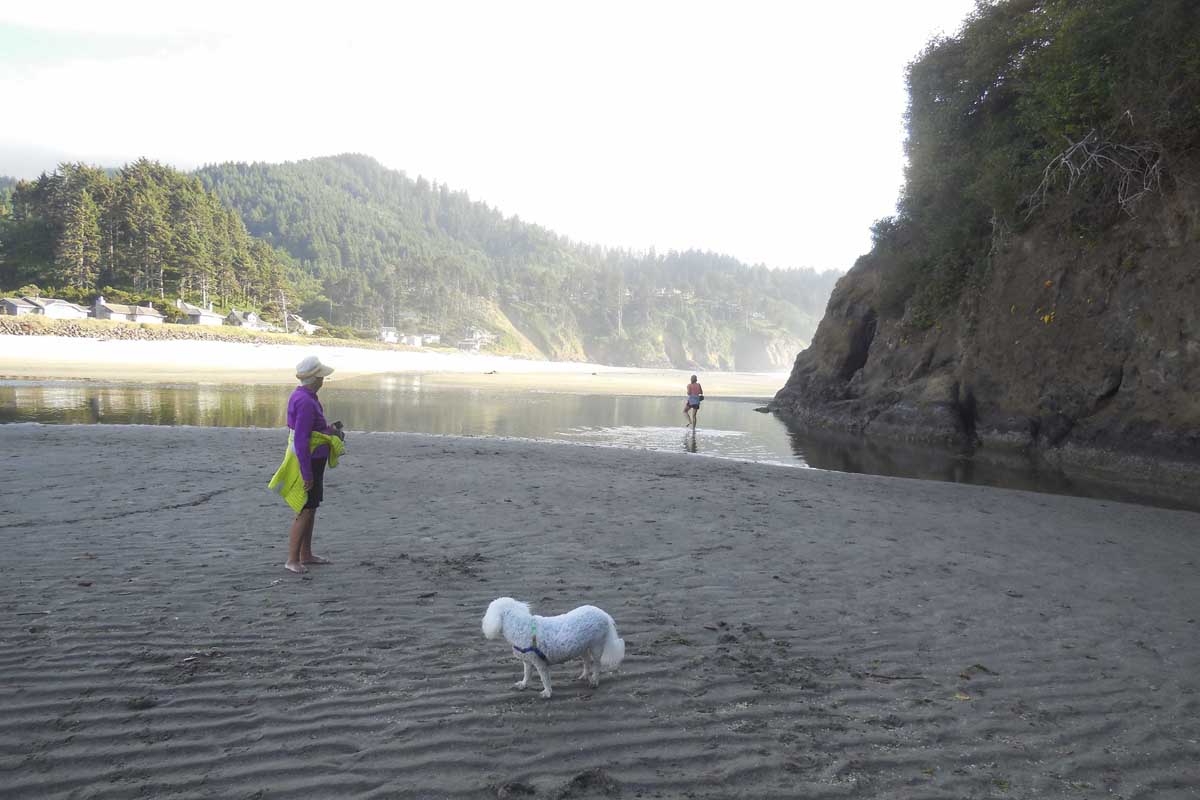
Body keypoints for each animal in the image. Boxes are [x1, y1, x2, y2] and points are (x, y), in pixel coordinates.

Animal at [482, 597, 625, 699]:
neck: (519, 625)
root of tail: (604, 614)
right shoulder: (527, 661)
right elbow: (527, 673)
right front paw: (523, 684)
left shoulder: (540, 663)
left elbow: (544, 679)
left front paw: (547, 692)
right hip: (582, 647)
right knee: (586, 660)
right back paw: (584, 675)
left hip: (596, 645)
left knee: (596, 664)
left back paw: (594, 680)